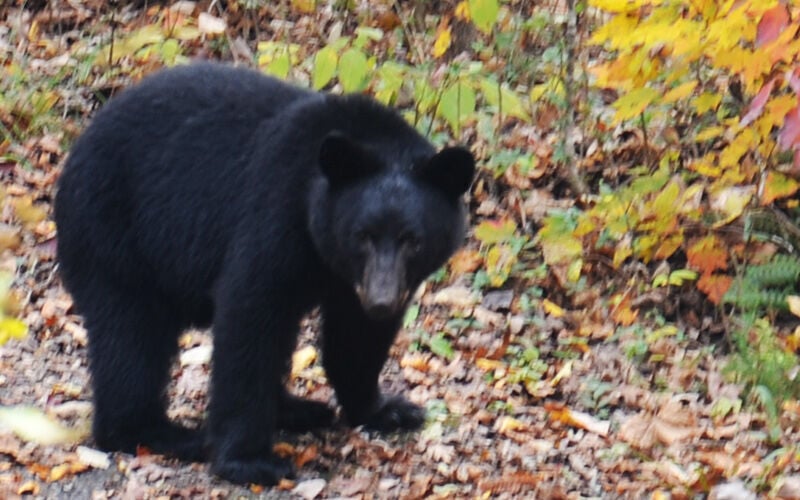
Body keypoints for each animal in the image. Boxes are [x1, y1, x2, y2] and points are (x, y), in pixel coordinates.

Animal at [54, 62, 474, 485]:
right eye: (362, 235)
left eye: (412, 239)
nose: (382, 300)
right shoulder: (275, 214)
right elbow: (250, 317)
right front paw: (250, 460)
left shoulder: (351, 279)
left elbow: (357, 336)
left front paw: (385, 409)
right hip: (115, 237)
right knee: (132, 338)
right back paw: (160, 433)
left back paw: (298, 409)